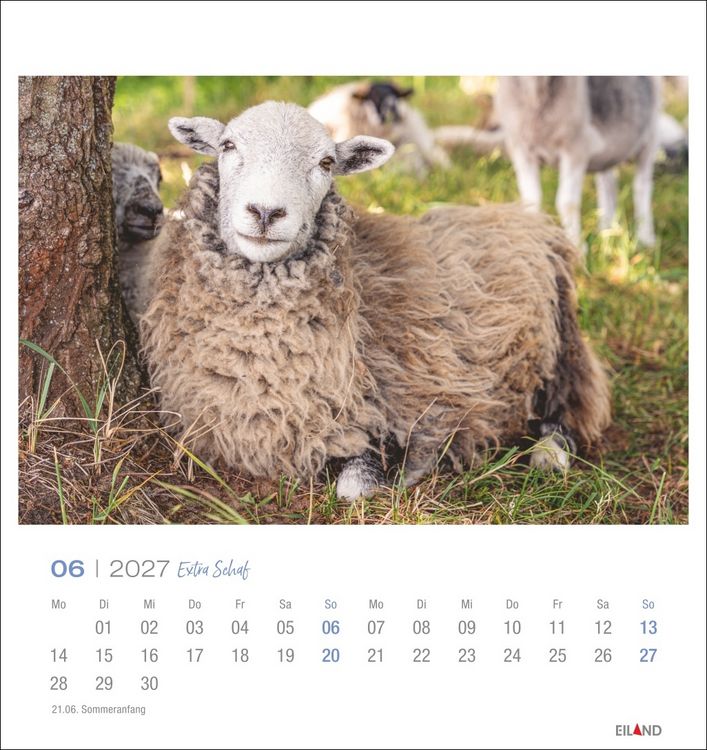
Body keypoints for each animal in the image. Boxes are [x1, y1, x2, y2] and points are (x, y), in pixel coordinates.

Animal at [139, 101, 611, 502]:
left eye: (326, 163)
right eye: (227, 145)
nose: (266, 213)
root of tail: (525, 217)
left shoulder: (388, 414)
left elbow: (355, 487)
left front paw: (411, 472)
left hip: (558, 350)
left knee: (568, 410)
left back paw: (549, 455)